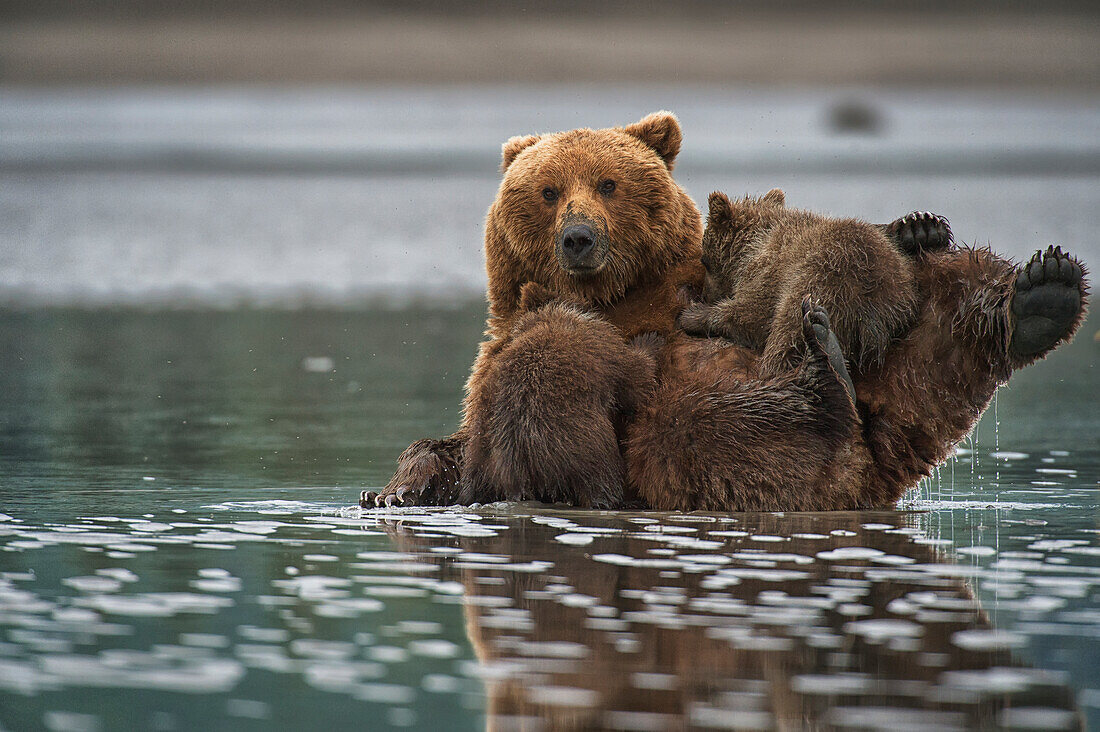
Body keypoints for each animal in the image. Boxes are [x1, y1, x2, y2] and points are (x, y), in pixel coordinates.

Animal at [363, 112, 1091, 508]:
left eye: (608, 182)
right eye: (547, 191)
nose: (579, 237)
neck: (622, 301)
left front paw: (916, 227)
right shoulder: (506, 336)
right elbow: (464, 437)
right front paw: (397, 486)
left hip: (888, 390)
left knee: (943, 314)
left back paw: (1040, 293)